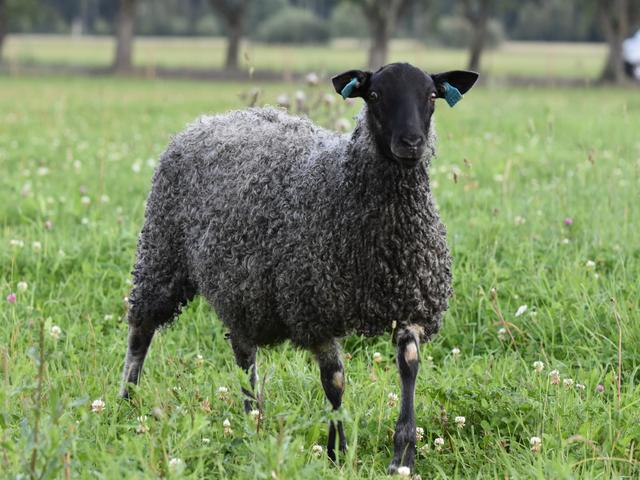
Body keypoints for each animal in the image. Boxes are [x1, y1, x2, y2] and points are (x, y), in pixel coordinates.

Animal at [120, 62, 478, 475]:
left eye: (431, 96)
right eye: (374, 96)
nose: (411, 143)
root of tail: (210, 119)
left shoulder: (410, 303)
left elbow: (408, 367)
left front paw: (402, 458)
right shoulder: (315, 307)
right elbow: (334, 382)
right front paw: (338, 453)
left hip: (240, 287)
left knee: (243, 355)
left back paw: (253, 420)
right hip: (163, 253)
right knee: (141, 330)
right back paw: (127, 400)